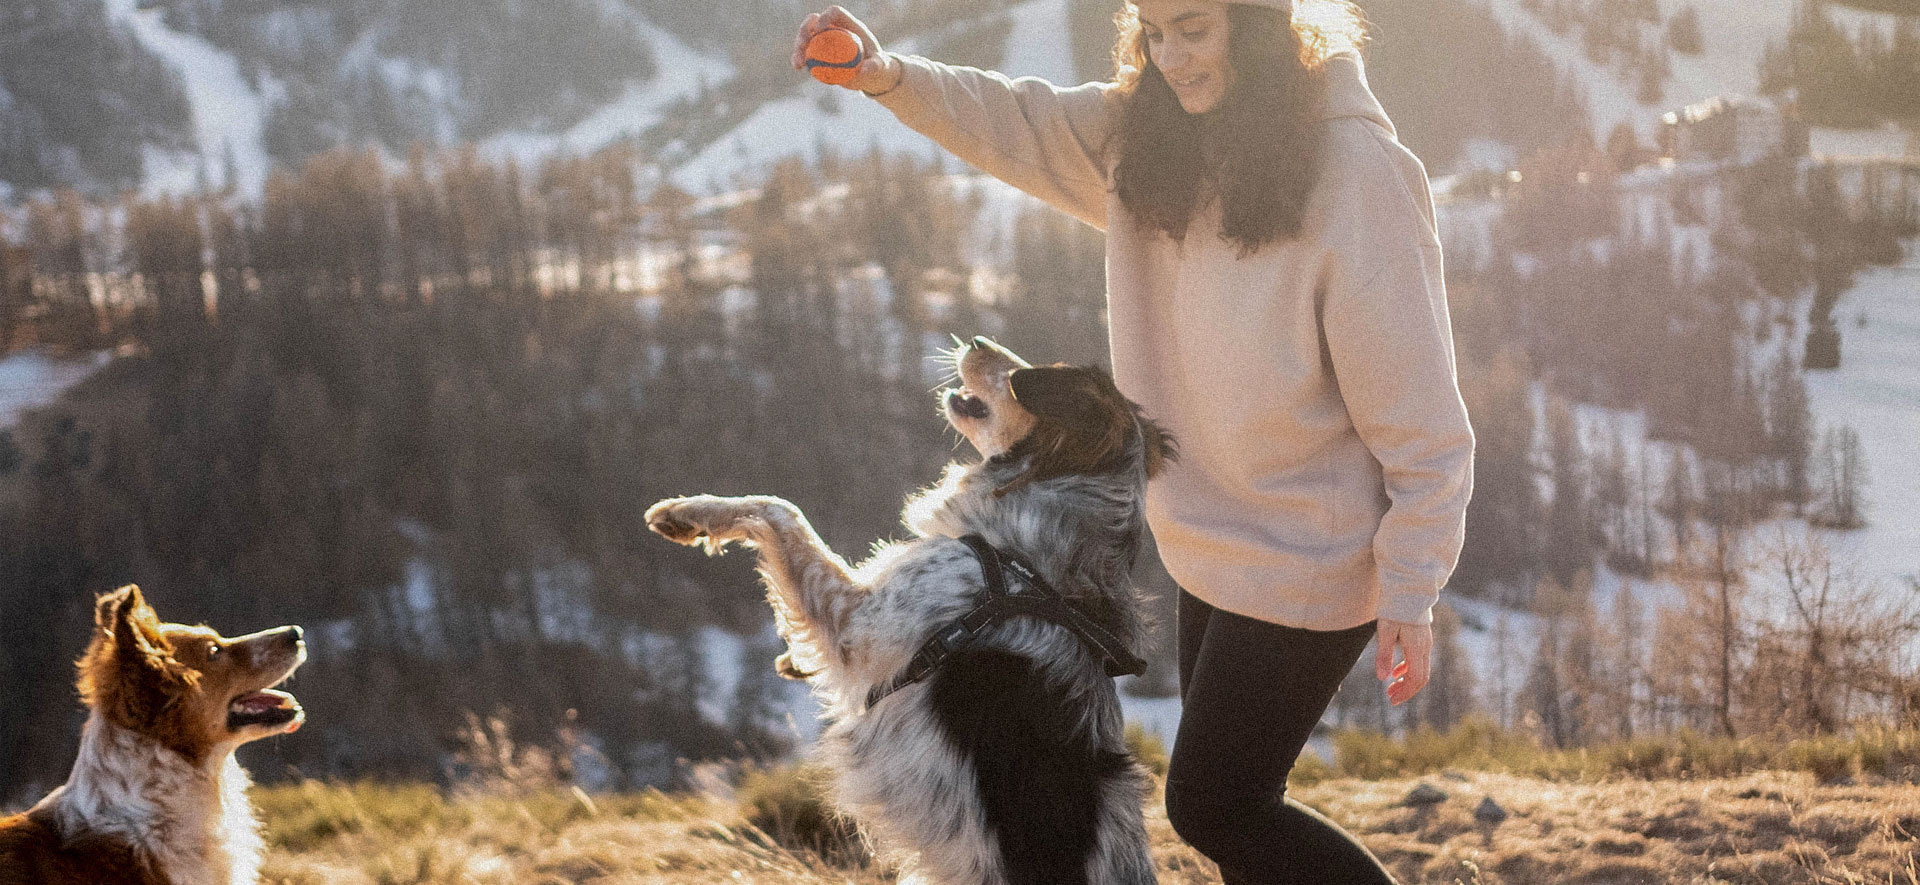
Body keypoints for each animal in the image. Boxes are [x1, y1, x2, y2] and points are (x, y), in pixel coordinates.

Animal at [645, 334, 1167, 879]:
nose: (977, 339)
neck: (1021, 558)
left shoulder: (857, 620)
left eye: (1027, 375)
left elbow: (782, 512)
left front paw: (688, 511)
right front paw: (793, 660)